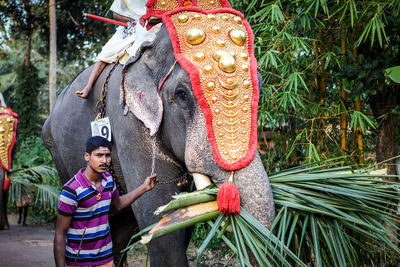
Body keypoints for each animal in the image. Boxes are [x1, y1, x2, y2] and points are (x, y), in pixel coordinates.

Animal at [43, 3, 276, 266]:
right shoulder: (129, 121)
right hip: (59, 151)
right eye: (182, 94)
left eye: (260, 89)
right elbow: (161, 218)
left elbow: (182, 213)